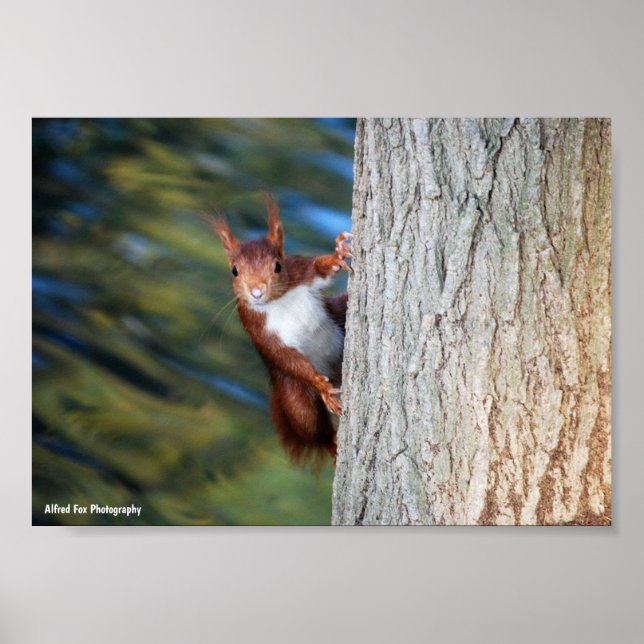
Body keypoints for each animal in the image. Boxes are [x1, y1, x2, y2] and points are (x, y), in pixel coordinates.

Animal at [213, 194, 352, 464]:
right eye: (234, 270)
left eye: (278, 265)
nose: (257, 291)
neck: (278, 300)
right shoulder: (259, 328)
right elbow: (284, 355)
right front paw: (320, 385)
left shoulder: (301, 270)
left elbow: (320, 268)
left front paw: (337, 255)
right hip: (294, 395)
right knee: (312, 428)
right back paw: (332, 442)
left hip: (340, 319)